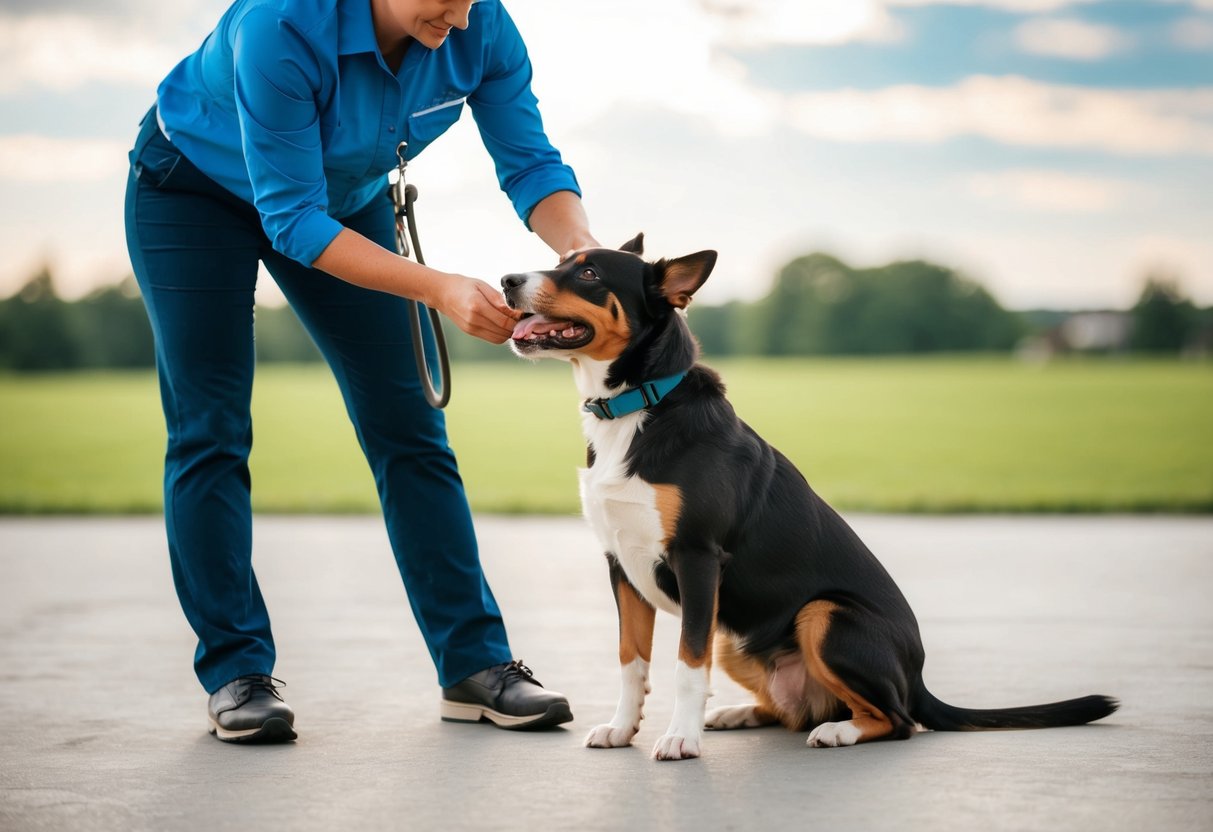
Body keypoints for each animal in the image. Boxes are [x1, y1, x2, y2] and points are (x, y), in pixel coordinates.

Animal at [499, 235, 1115, 761]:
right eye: (562, 260)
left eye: (589, 273)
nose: (506, 279)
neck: (638, 407)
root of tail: (917, 679)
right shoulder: (621, 564)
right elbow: (632, 661)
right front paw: (622, 728)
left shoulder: (697, 560)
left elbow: (685, 666)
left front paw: (680, 738)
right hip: (736, 634)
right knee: (795, 711)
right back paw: (740, 714)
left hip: (822, 614)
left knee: (897, 720)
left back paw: (838, 731)